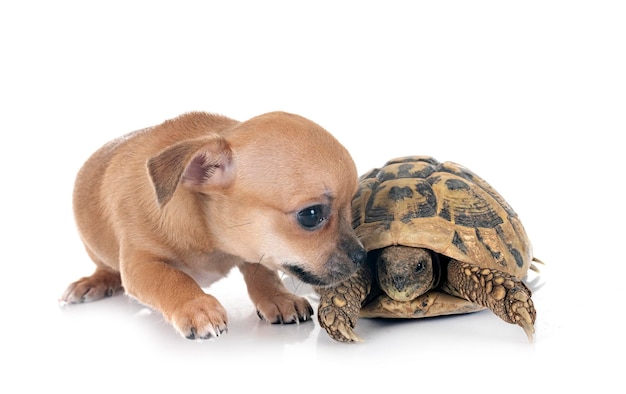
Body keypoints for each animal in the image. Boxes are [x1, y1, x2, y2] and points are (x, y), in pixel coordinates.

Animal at [59, 111, 366, 338]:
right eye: (311, 215)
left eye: (352, 205)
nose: (361, 256)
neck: (213, 240)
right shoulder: (140, 265)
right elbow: (172, 278)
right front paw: (197, 308)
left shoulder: (254, 248)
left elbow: (262, 271)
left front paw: (278, 297)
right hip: (95, 250)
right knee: (106, 268)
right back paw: (94, 282)